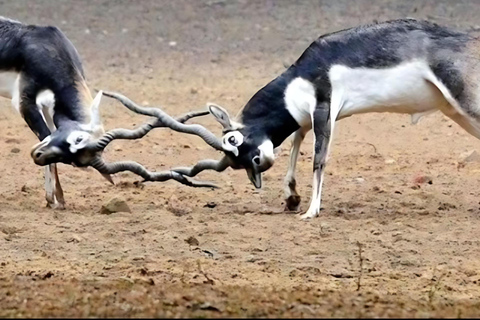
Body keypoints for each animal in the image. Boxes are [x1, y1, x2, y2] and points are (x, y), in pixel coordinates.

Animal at [0, 17, 218, 209]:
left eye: (73, 162)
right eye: (77, 139)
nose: (37, 156)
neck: (51, 49)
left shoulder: (49, 108)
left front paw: (57, 199)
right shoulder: (25, 103)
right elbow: (44, 134)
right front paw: (53, 200)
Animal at [171, 18, 480, 220]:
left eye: (234, 140)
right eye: (235, 163)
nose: (258, 163)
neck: (302, 73)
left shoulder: (324, 109)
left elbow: (318, 159)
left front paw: (311, 210)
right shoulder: (308, 118)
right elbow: (296, 143)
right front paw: (291, 198)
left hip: (467, 105)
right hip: (455, 111)